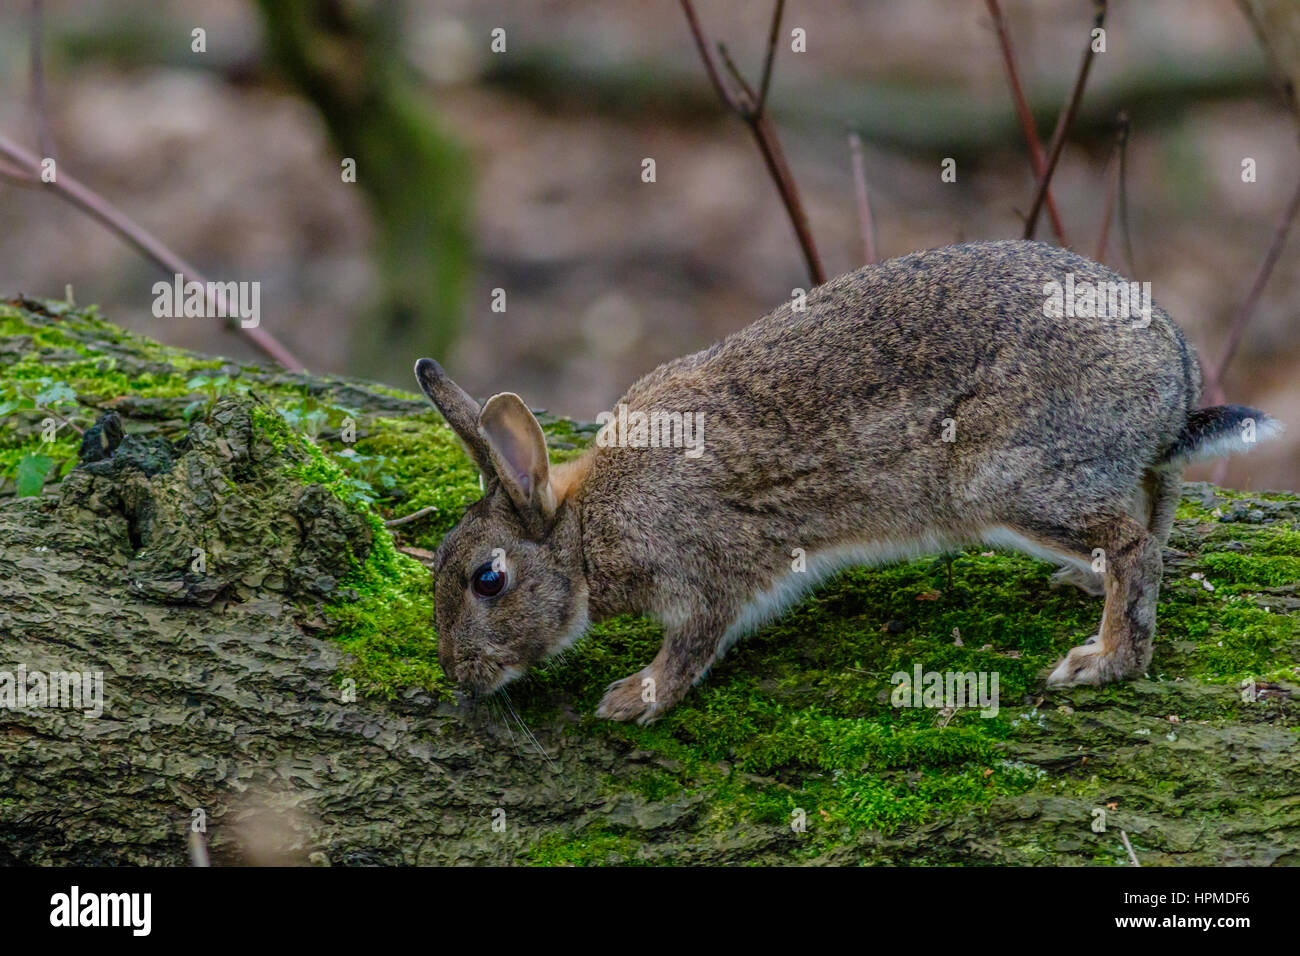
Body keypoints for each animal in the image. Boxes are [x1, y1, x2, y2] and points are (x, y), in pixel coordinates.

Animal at [414, 239, 1282, 723]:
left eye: (488, 579)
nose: (458, 676)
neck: (587, 527)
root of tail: (1171, 363)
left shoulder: (703, 566)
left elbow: (692, 644)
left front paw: (633, 699)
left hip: (1006, 478)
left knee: (1138, 545)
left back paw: (1102, 661)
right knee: (1157, 499)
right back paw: (1084, 586)